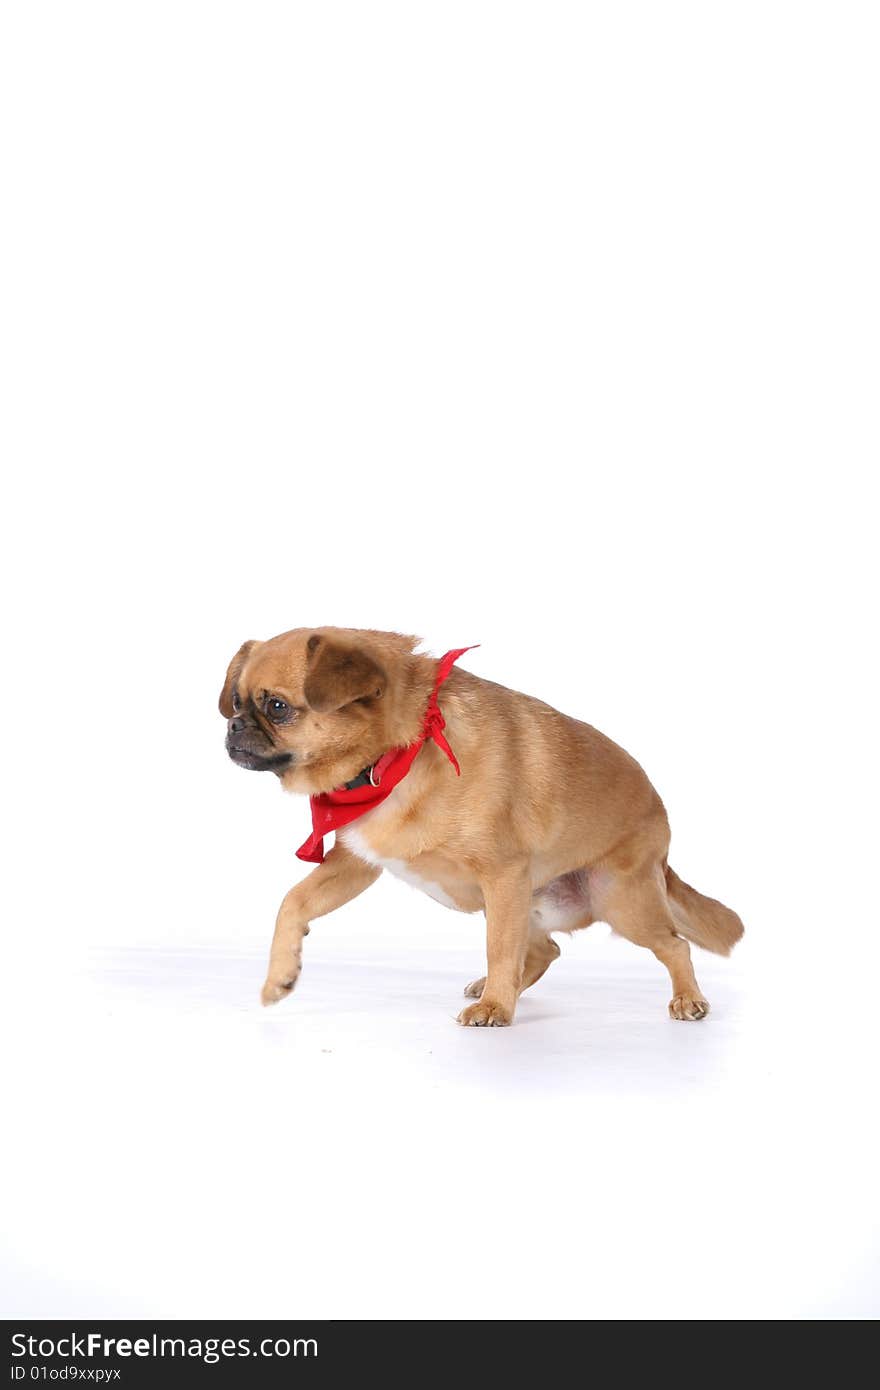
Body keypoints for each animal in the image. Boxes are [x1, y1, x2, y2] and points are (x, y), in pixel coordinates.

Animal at [219, 631, 739, 1023]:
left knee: (673, 945)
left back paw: (687, 999)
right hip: (524, 902)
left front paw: (496, 1009)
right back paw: (495, 987)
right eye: (237, 702)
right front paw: (280, 975)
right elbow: (293, 902)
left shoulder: (502, 873)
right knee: (545, 950)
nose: (234, 726)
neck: (397, 756)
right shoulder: (357, 865)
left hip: (618, 900)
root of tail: (663, 845)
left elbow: (499, 948)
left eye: (278, 707)